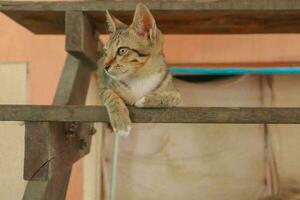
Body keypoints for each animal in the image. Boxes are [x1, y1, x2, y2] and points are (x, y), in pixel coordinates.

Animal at [96, 2, 180, 136]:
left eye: (122, 50)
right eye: (106, 53)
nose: (105, 66)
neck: (140, 76)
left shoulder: (174, 90)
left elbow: (174, 97)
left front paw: (145, 100)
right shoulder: (104, 87)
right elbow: (109, 94)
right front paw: (120, 121)